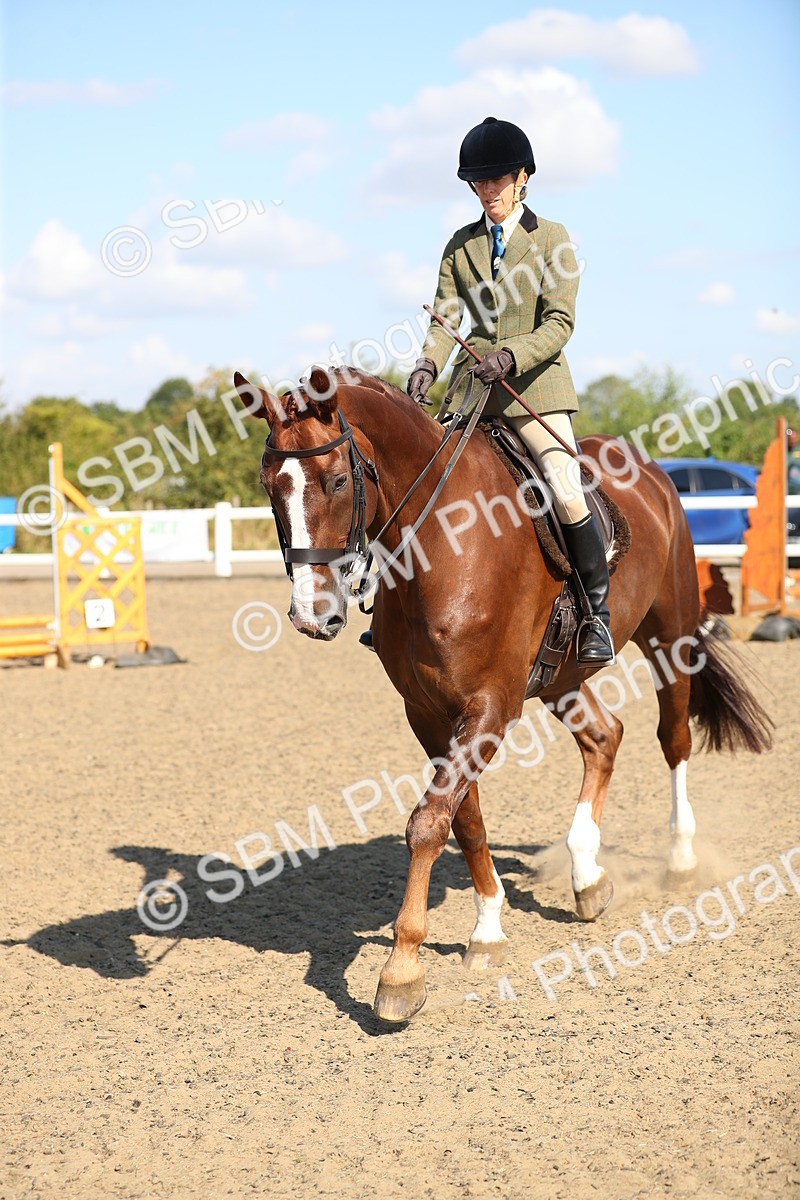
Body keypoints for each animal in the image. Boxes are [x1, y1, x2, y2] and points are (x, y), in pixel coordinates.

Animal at [233, 365, 773, 1023]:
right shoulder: (430, 713)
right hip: (561, 676)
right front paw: (488, 930)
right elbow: (462, 819)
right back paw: (587, 874)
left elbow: (428, 821)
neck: (442, 541)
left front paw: (402, 970)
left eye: (337, 481)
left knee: (672, 738)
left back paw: (680, 859)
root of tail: (648, 467)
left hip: (670, 636)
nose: (312, 616)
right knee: (604, 737)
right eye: (270, 487)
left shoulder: (491, 705)